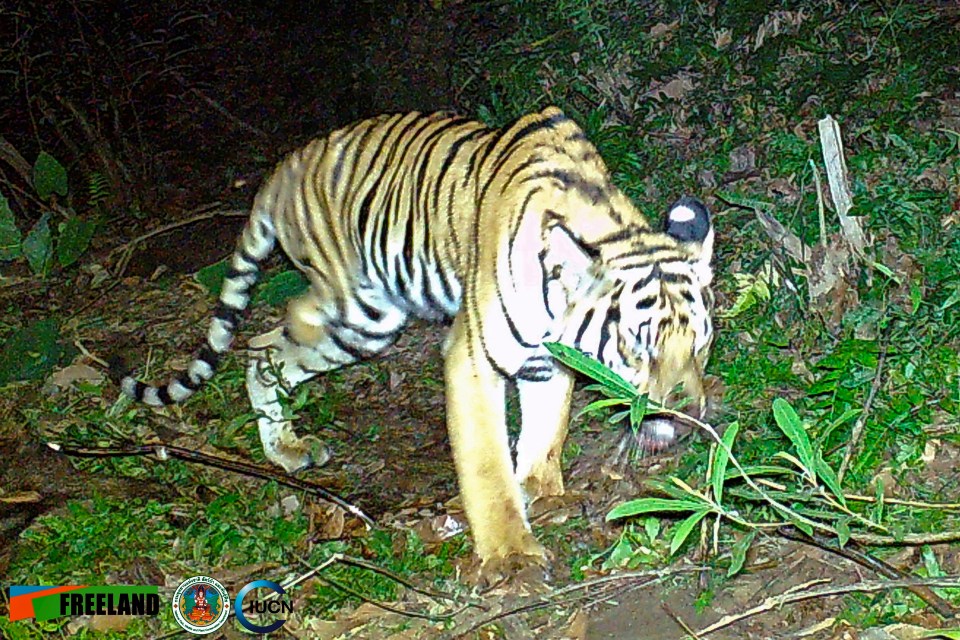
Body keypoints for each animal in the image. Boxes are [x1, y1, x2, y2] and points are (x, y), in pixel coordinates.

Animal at [118, 106, 712, 576]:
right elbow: (486, 465)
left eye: (701, 346)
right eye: (639, 348)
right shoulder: (473, 360)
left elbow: (545, 434)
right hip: (360, 311)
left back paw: (287, 448)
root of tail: (283, 168)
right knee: (276, 330)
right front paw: (510, 553)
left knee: (267, 348)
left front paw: (541, 492)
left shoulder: (548, 363)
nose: (690, 417)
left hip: (363, 327)